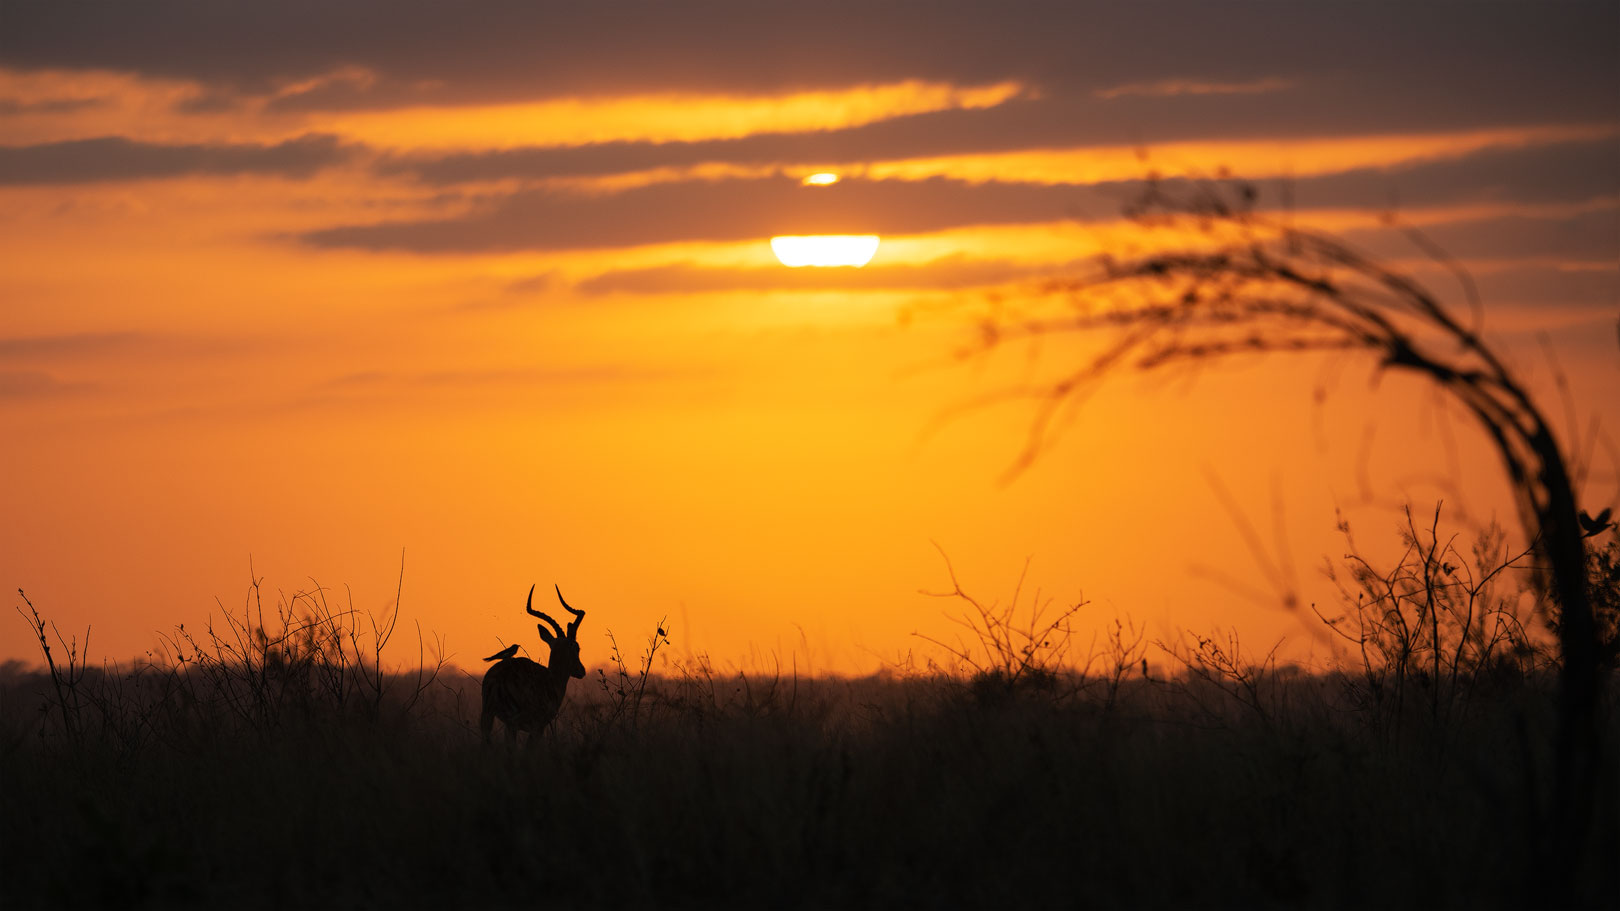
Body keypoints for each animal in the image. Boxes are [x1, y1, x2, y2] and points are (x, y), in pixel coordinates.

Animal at [479, 583, 589, 742]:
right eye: (576, 647)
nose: (581, 670)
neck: (552, 679)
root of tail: (498, 678)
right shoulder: (538, 726)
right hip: (511, 723)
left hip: (487, 716)